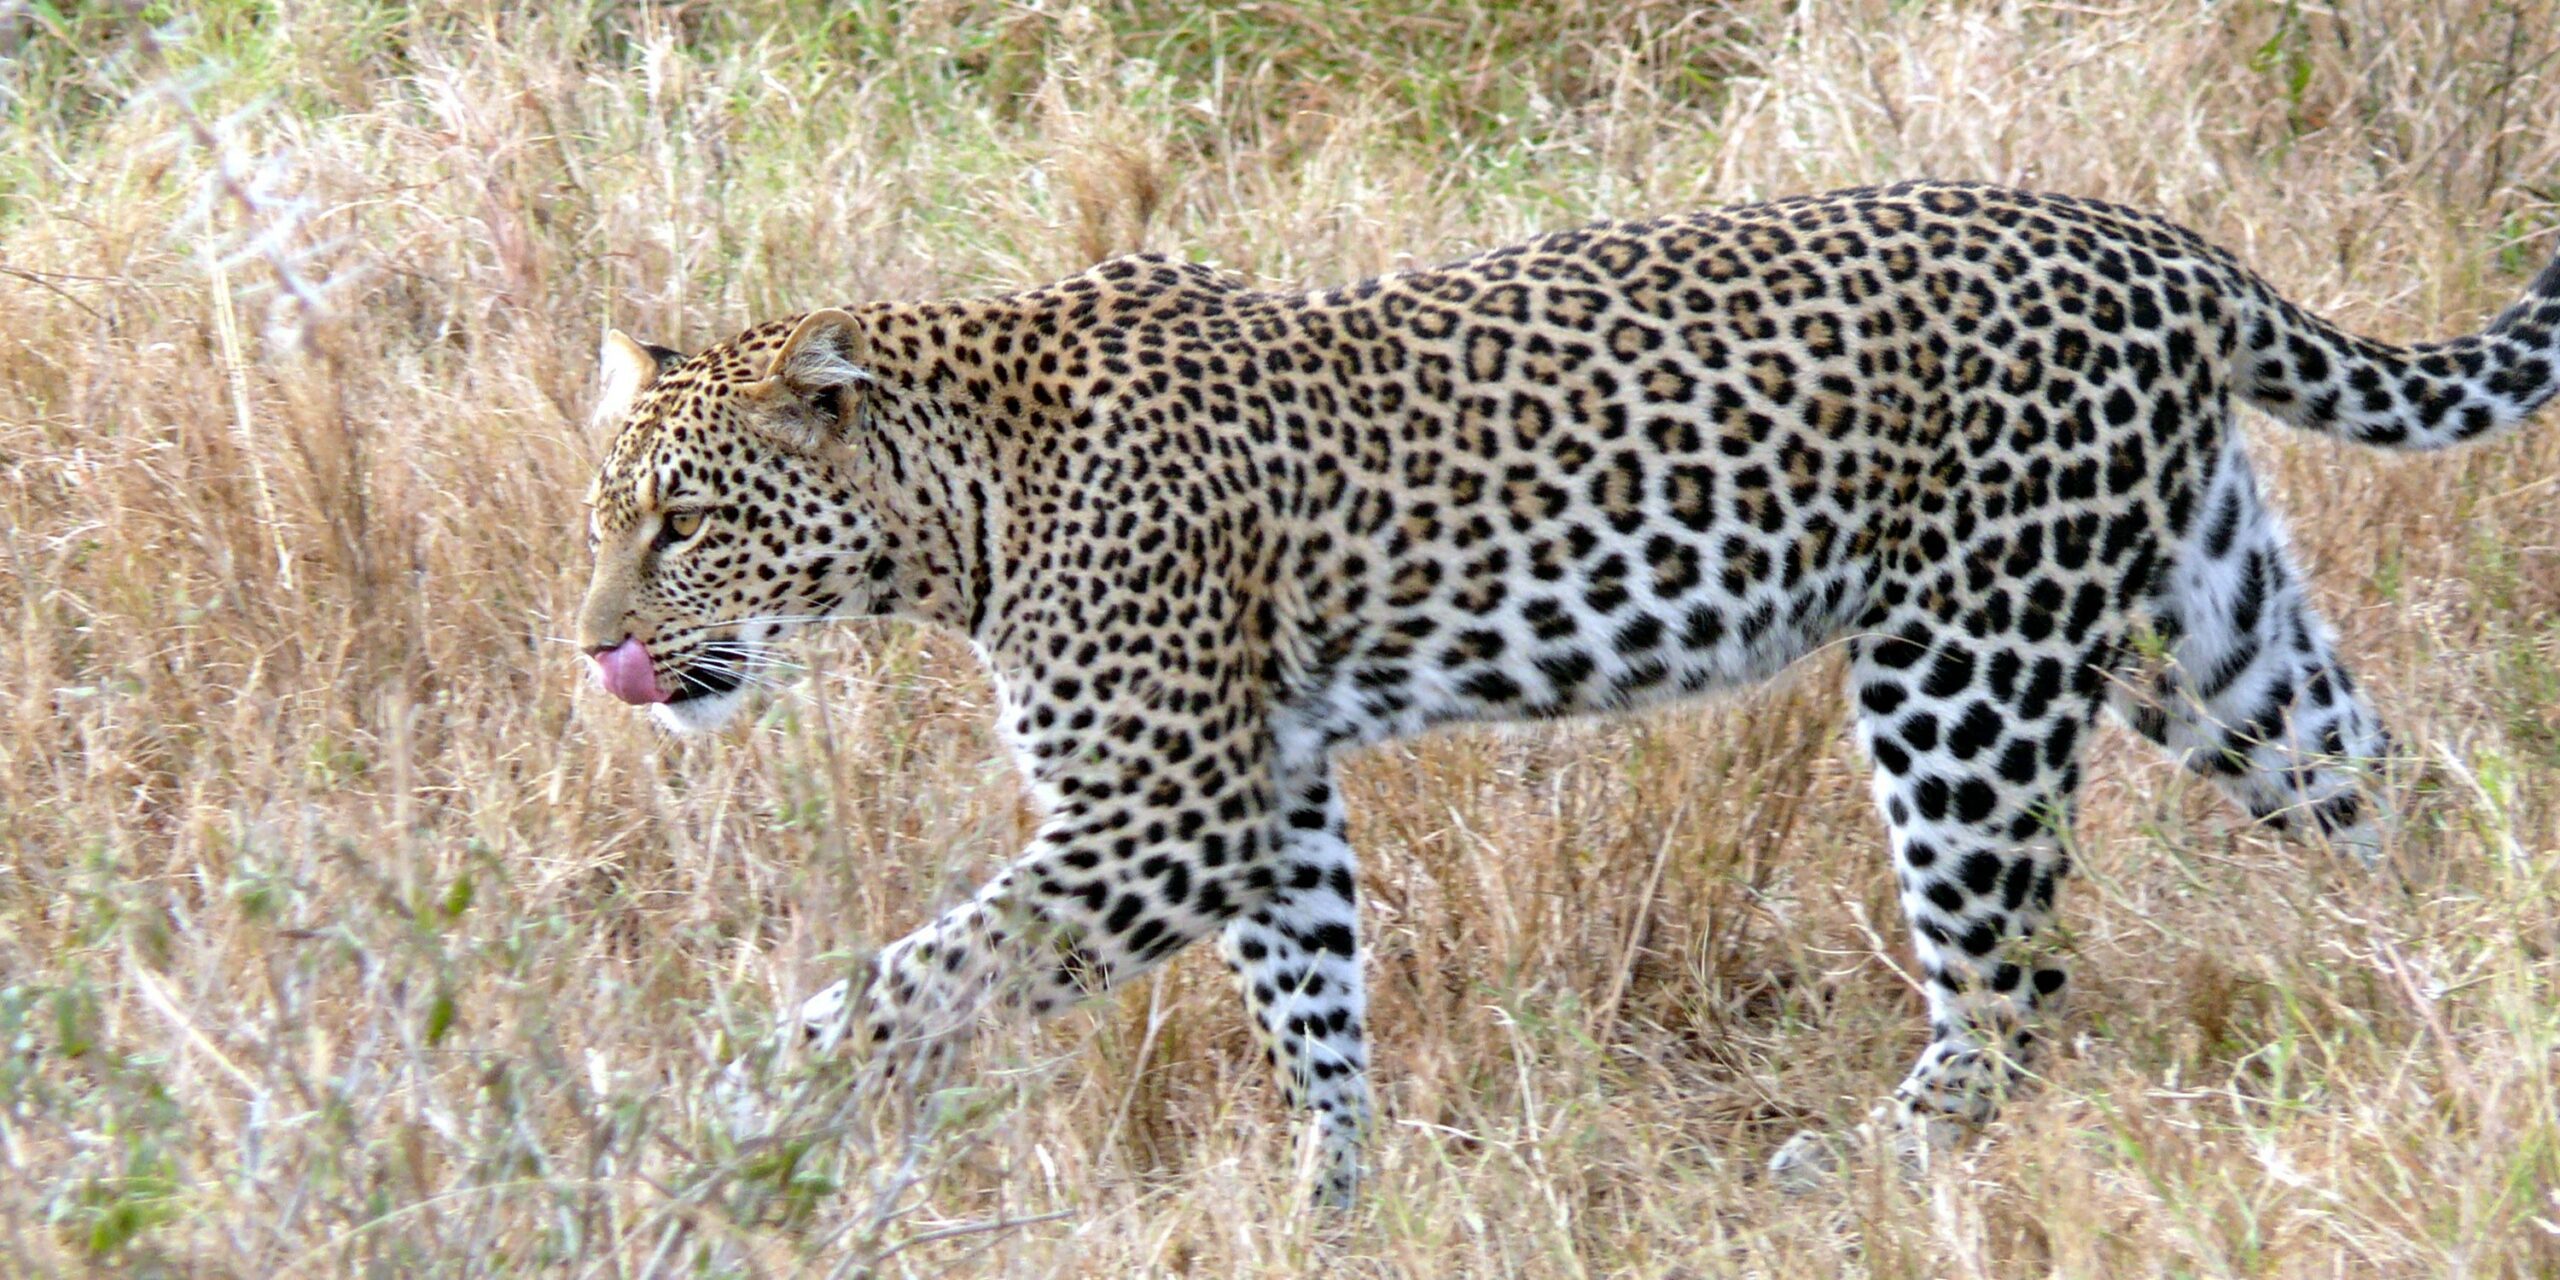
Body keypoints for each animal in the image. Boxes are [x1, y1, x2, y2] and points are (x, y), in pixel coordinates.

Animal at [575, 180, 2560, 1204]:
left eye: (684, 521)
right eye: (609, 517)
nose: (595, 650)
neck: (958, 507)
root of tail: (2164, 242)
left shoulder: (1164, 814)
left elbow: (911, 984)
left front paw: (717, 1125)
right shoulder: (1267, 796)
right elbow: (1314, 1010)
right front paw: (1331, 1208)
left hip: (1965, 662)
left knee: (2012, 984)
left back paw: (1853, 1170)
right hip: (2200, 627)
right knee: (2388, 787)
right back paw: (2467, 1003)